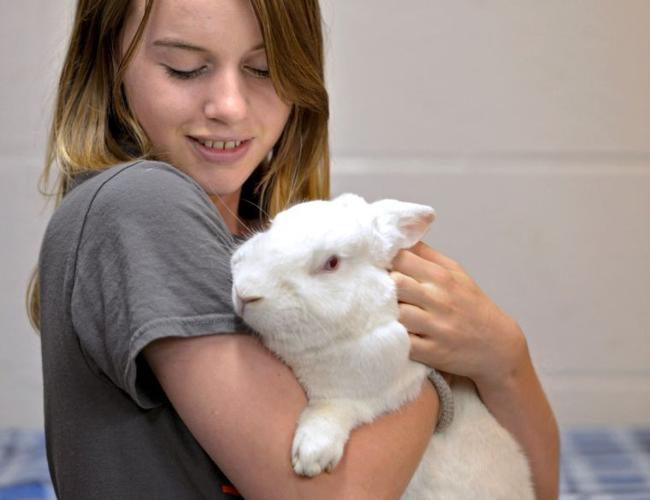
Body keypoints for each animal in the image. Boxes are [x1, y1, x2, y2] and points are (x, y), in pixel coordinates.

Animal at [230, 193, 534, 499]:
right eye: (272, 226)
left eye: (332, 263)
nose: (245, 294)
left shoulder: (378, 389)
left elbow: (333, 410)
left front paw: (311, 457)